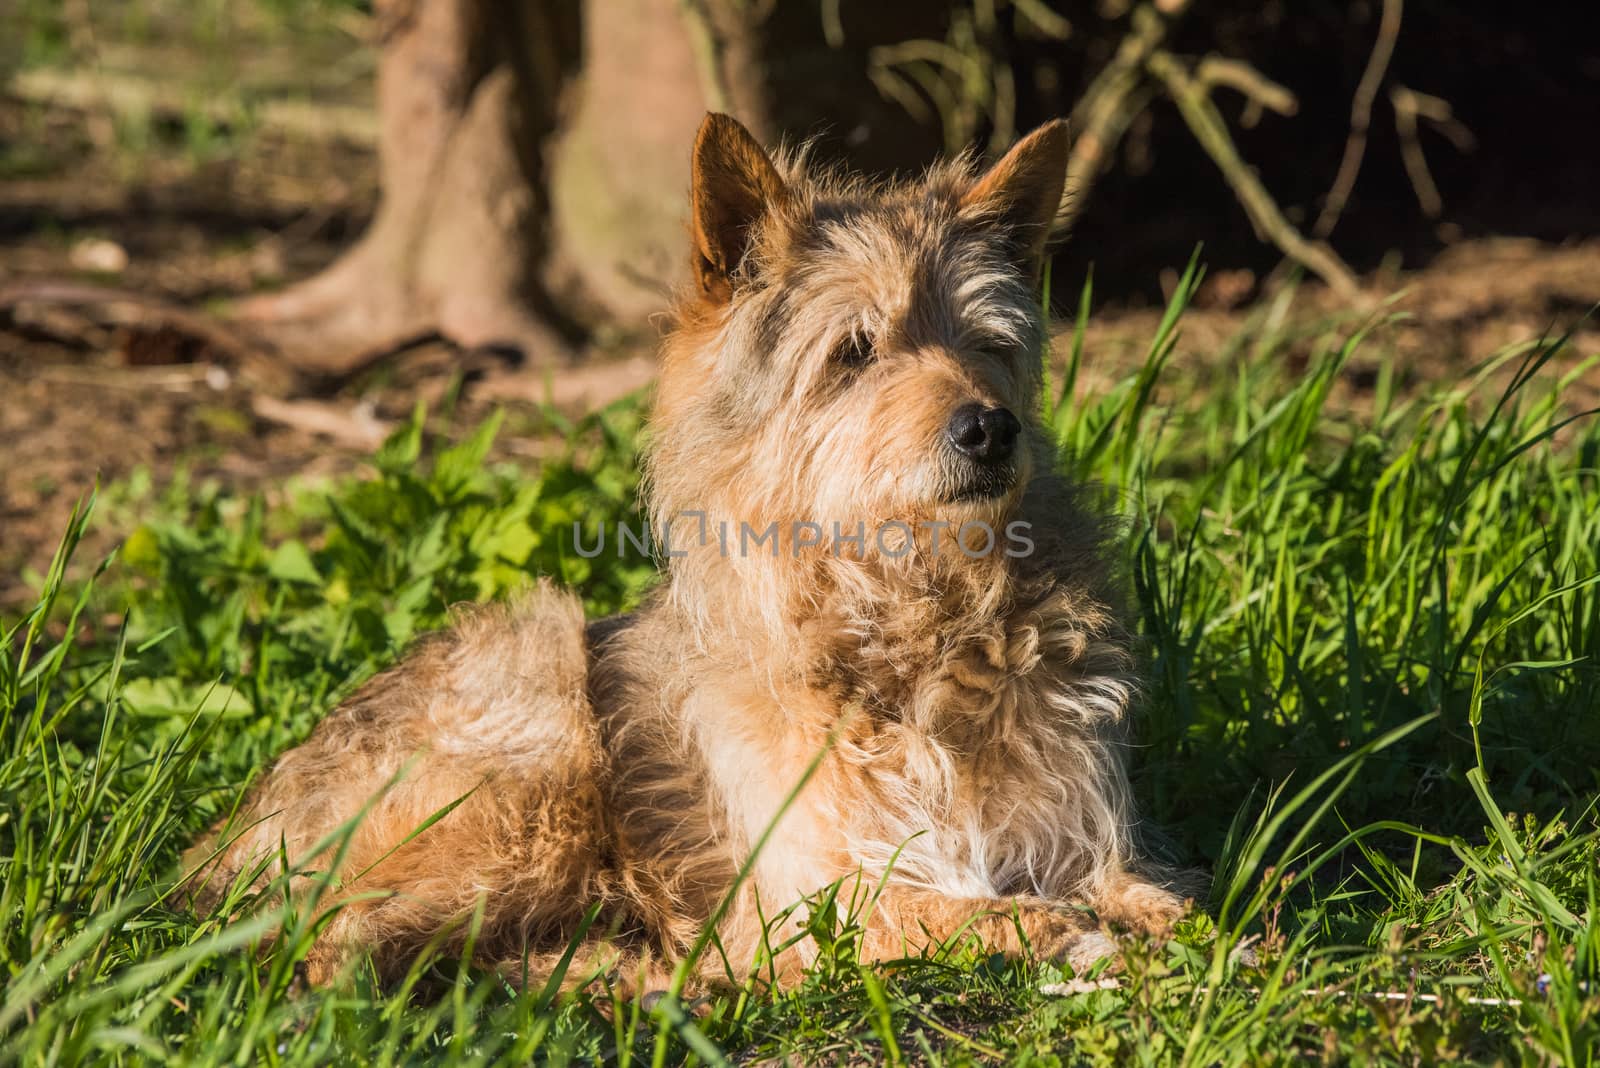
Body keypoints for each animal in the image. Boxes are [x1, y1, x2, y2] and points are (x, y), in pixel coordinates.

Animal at [187, 115, 1190, 991]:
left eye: (989, 345)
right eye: (854, 351)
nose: (990, 428)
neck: (914, 615)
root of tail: (234, 833)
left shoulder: (1079, 837)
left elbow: (1169, 900)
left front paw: (1183, 933)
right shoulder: (819, 895)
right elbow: (965, 912)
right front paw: (1068, 937)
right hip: (536, 731)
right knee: (331, 944)